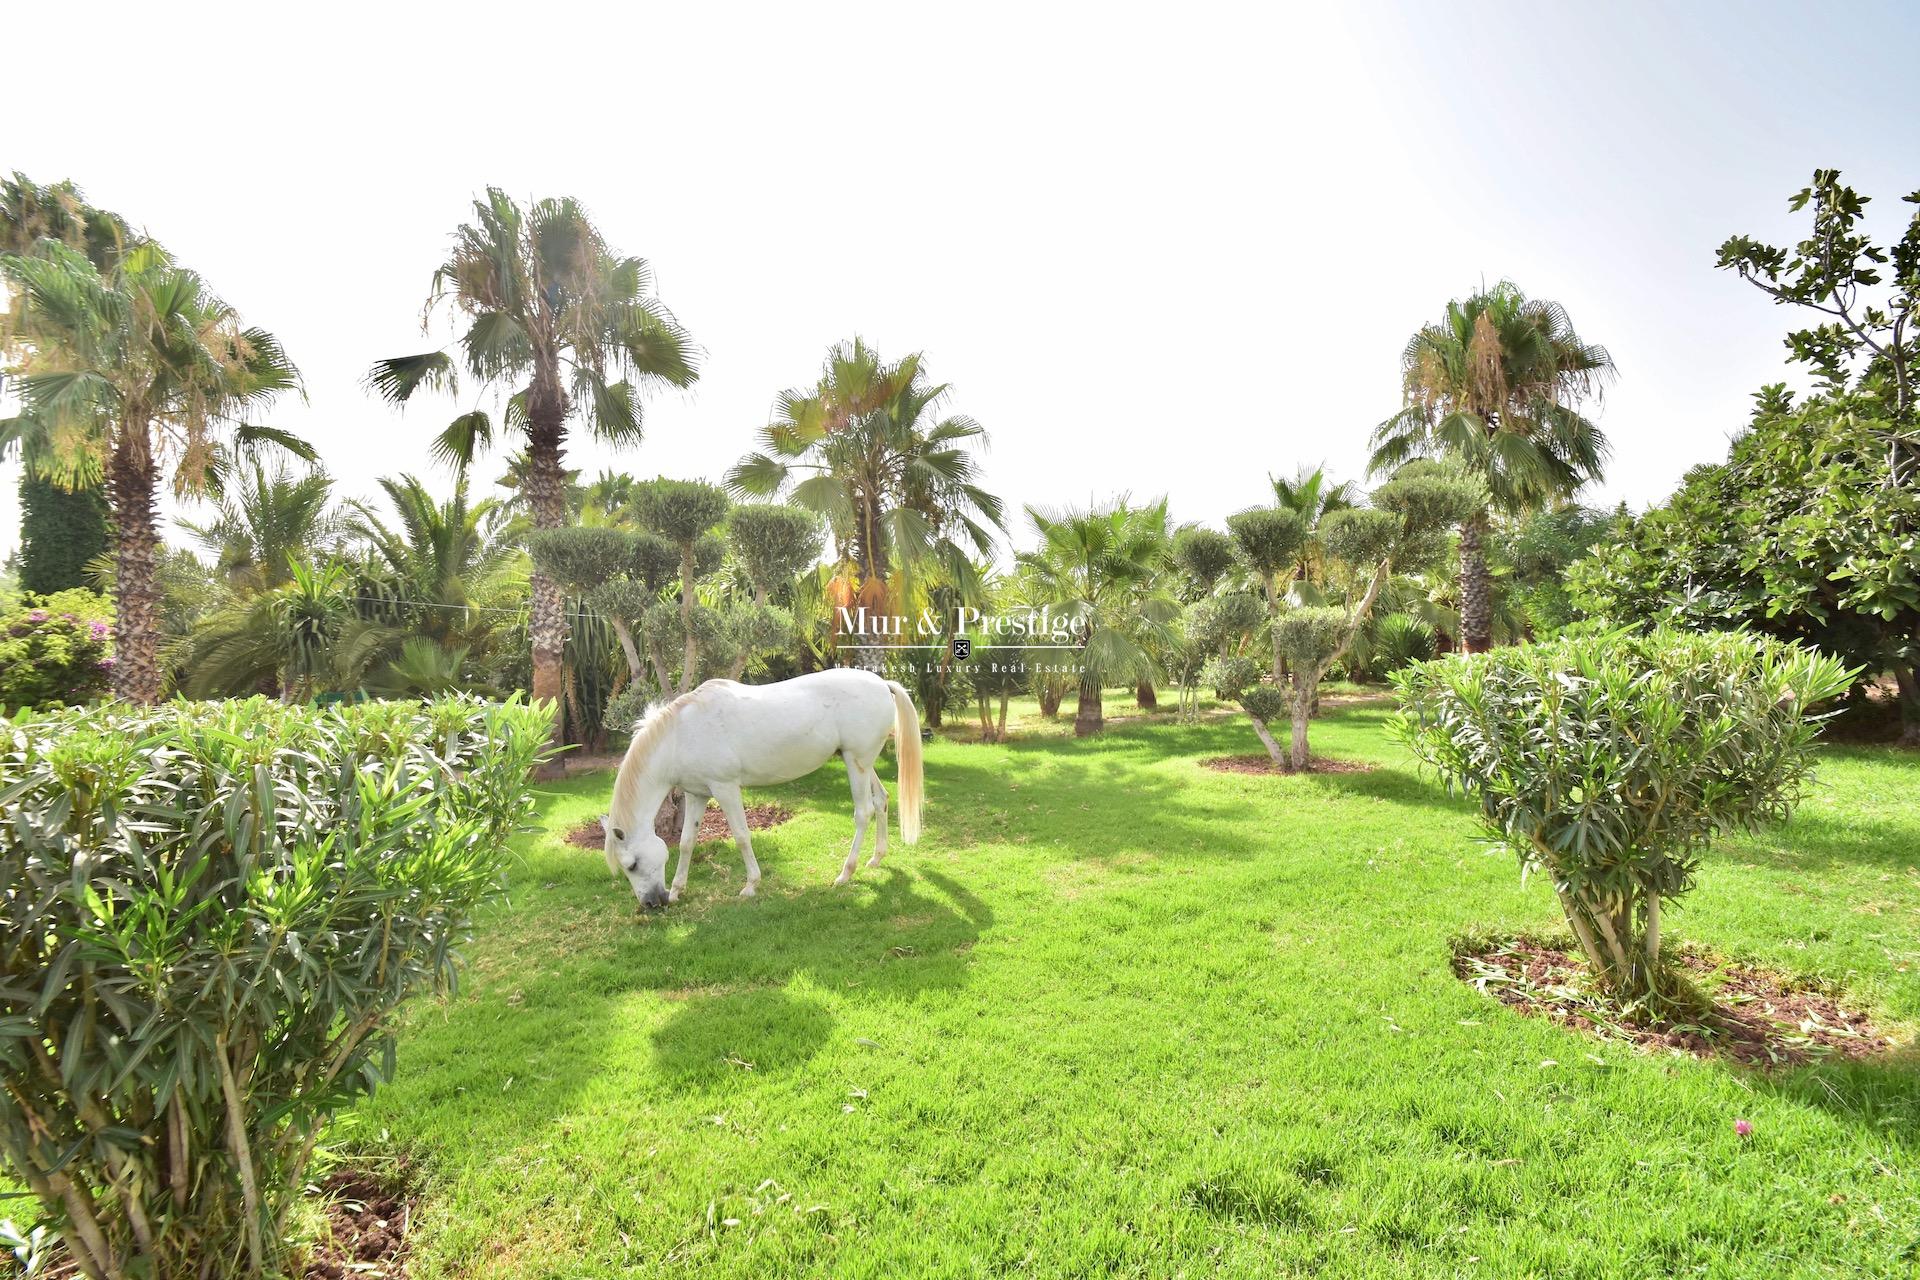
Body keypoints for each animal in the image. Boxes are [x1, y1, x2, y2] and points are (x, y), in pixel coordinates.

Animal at [602, 667, 925, 905]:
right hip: (862, 763)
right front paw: (679, 890)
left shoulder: (726, 789)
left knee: (863, 812)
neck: (680, 735)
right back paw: (876, 858)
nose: (651, 903)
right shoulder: (696, 794)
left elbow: (742, 836)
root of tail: (882, 684)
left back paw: (846, 873)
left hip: (855, 763)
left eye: (631, 865)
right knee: (881, 800)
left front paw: (751, 885)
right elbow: (686, 843)